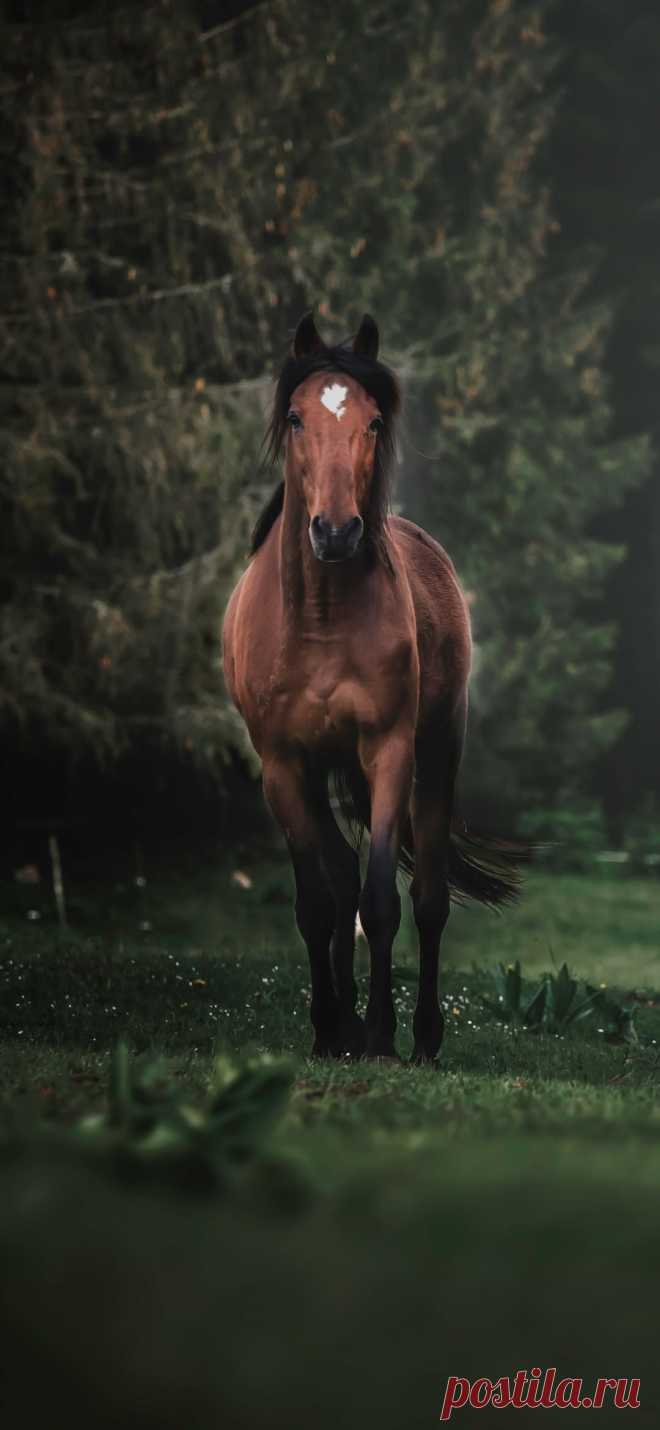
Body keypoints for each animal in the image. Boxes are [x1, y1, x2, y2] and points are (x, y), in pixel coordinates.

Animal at [224, 310, 522, 1063]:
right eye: (296, 417)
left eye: (374, 421)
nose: (335, 531)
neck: (322, 620)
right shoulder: (284, 766)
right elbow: (318, 902)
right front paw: (331, 1029)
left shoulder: (388, 753)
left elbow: (383, 900)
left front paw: (383, 1036)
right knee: (338, 873)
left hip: (438, 752)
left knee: (428, 897)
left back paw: (421, 1037)